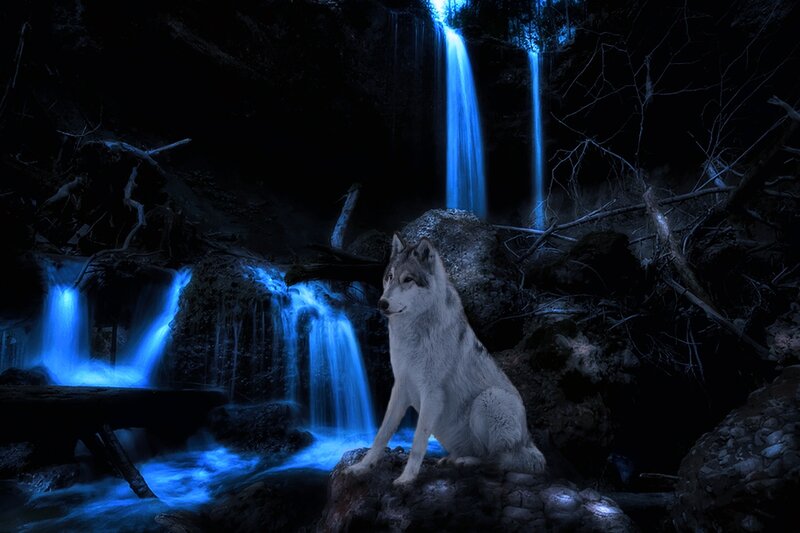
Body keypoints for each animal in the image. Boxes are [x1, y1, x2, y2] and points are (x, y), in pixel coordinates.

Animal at [346, 234, 546, 486]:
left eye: (408, 279)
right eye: (389, 277)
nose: (382, 303)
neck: (413, 334)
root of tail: (531, 444)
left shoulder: (431, 393)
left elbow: (417, 443)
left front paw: (407, 479)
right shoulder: (400, 388)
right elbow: (381, 434)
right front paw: (363, 467)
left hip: (489, 399)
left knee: (498, 461)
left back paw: (465, 462)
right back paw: (451, 459)